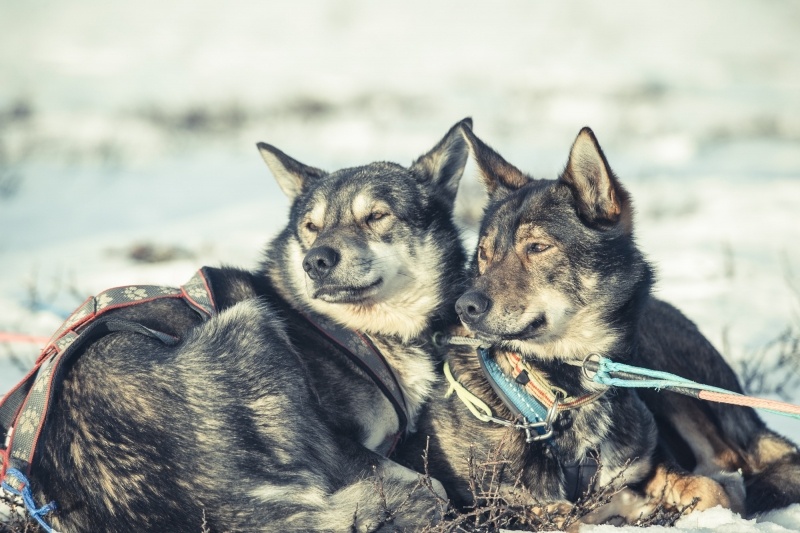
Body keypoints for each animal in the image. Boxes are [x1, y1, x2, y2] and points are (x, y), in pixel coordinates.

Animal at [21, 118, 472, 528]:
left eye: (376, 216)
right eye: (311, 227)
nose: (315, 262)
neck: (355, 332)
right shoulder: (342, 446)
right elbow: (428, 482)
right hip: (252, 318)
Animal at [398, 124, 800, 524]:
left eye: (537, 247)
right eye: (483, 253)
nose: (465, 306)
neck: (557, 394)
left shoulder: (645, 459)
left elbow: (711, 490)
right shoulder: (498, 504)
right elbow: (570, 516)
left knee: (731, 458)